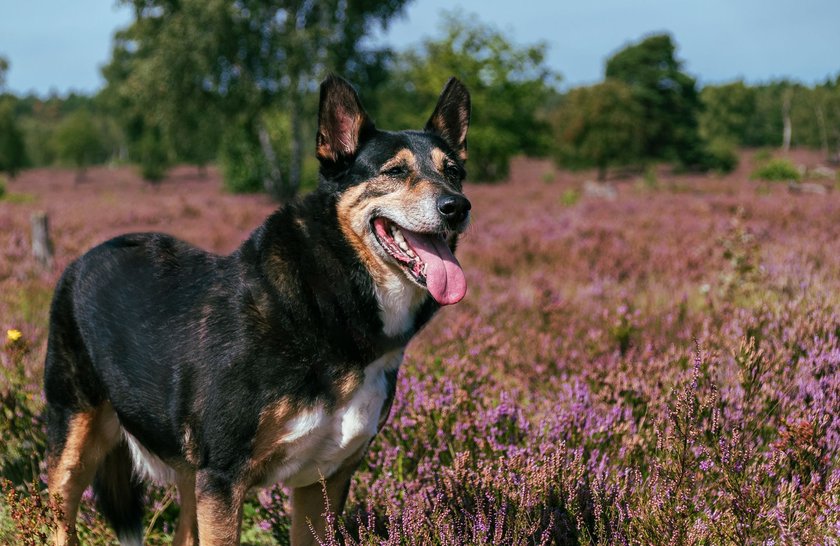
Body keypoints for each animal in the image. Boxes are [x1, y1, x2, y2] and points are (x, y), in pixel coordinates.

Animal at [44, 73, 472, 544]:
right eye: (395, 171)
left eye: (454, 173)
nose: (457, 207)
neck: (327, 299)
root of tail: (84, 257)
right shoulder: (224, 477)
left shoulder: (322, 482)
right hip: (75, 438)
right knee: (61, 515)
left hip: (190, 470)